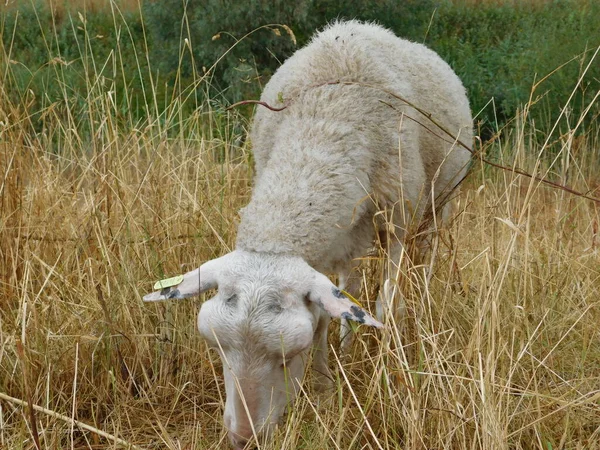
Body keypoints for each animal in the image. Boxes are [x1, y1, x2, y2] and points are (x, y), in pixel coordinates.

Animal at [143, 20, 472, 450]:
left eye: (287, 358)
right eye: (218, 349)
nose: (243, 438)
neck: (324, 124)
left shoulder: (398, 219)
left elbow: (386, 306)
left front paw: (384, 375)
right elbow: (323, 317)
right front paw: (324, 385)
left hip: (437, 204)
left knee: (422, 263)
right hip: (352, 233)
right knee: (350, 288)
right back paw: (348, 348)